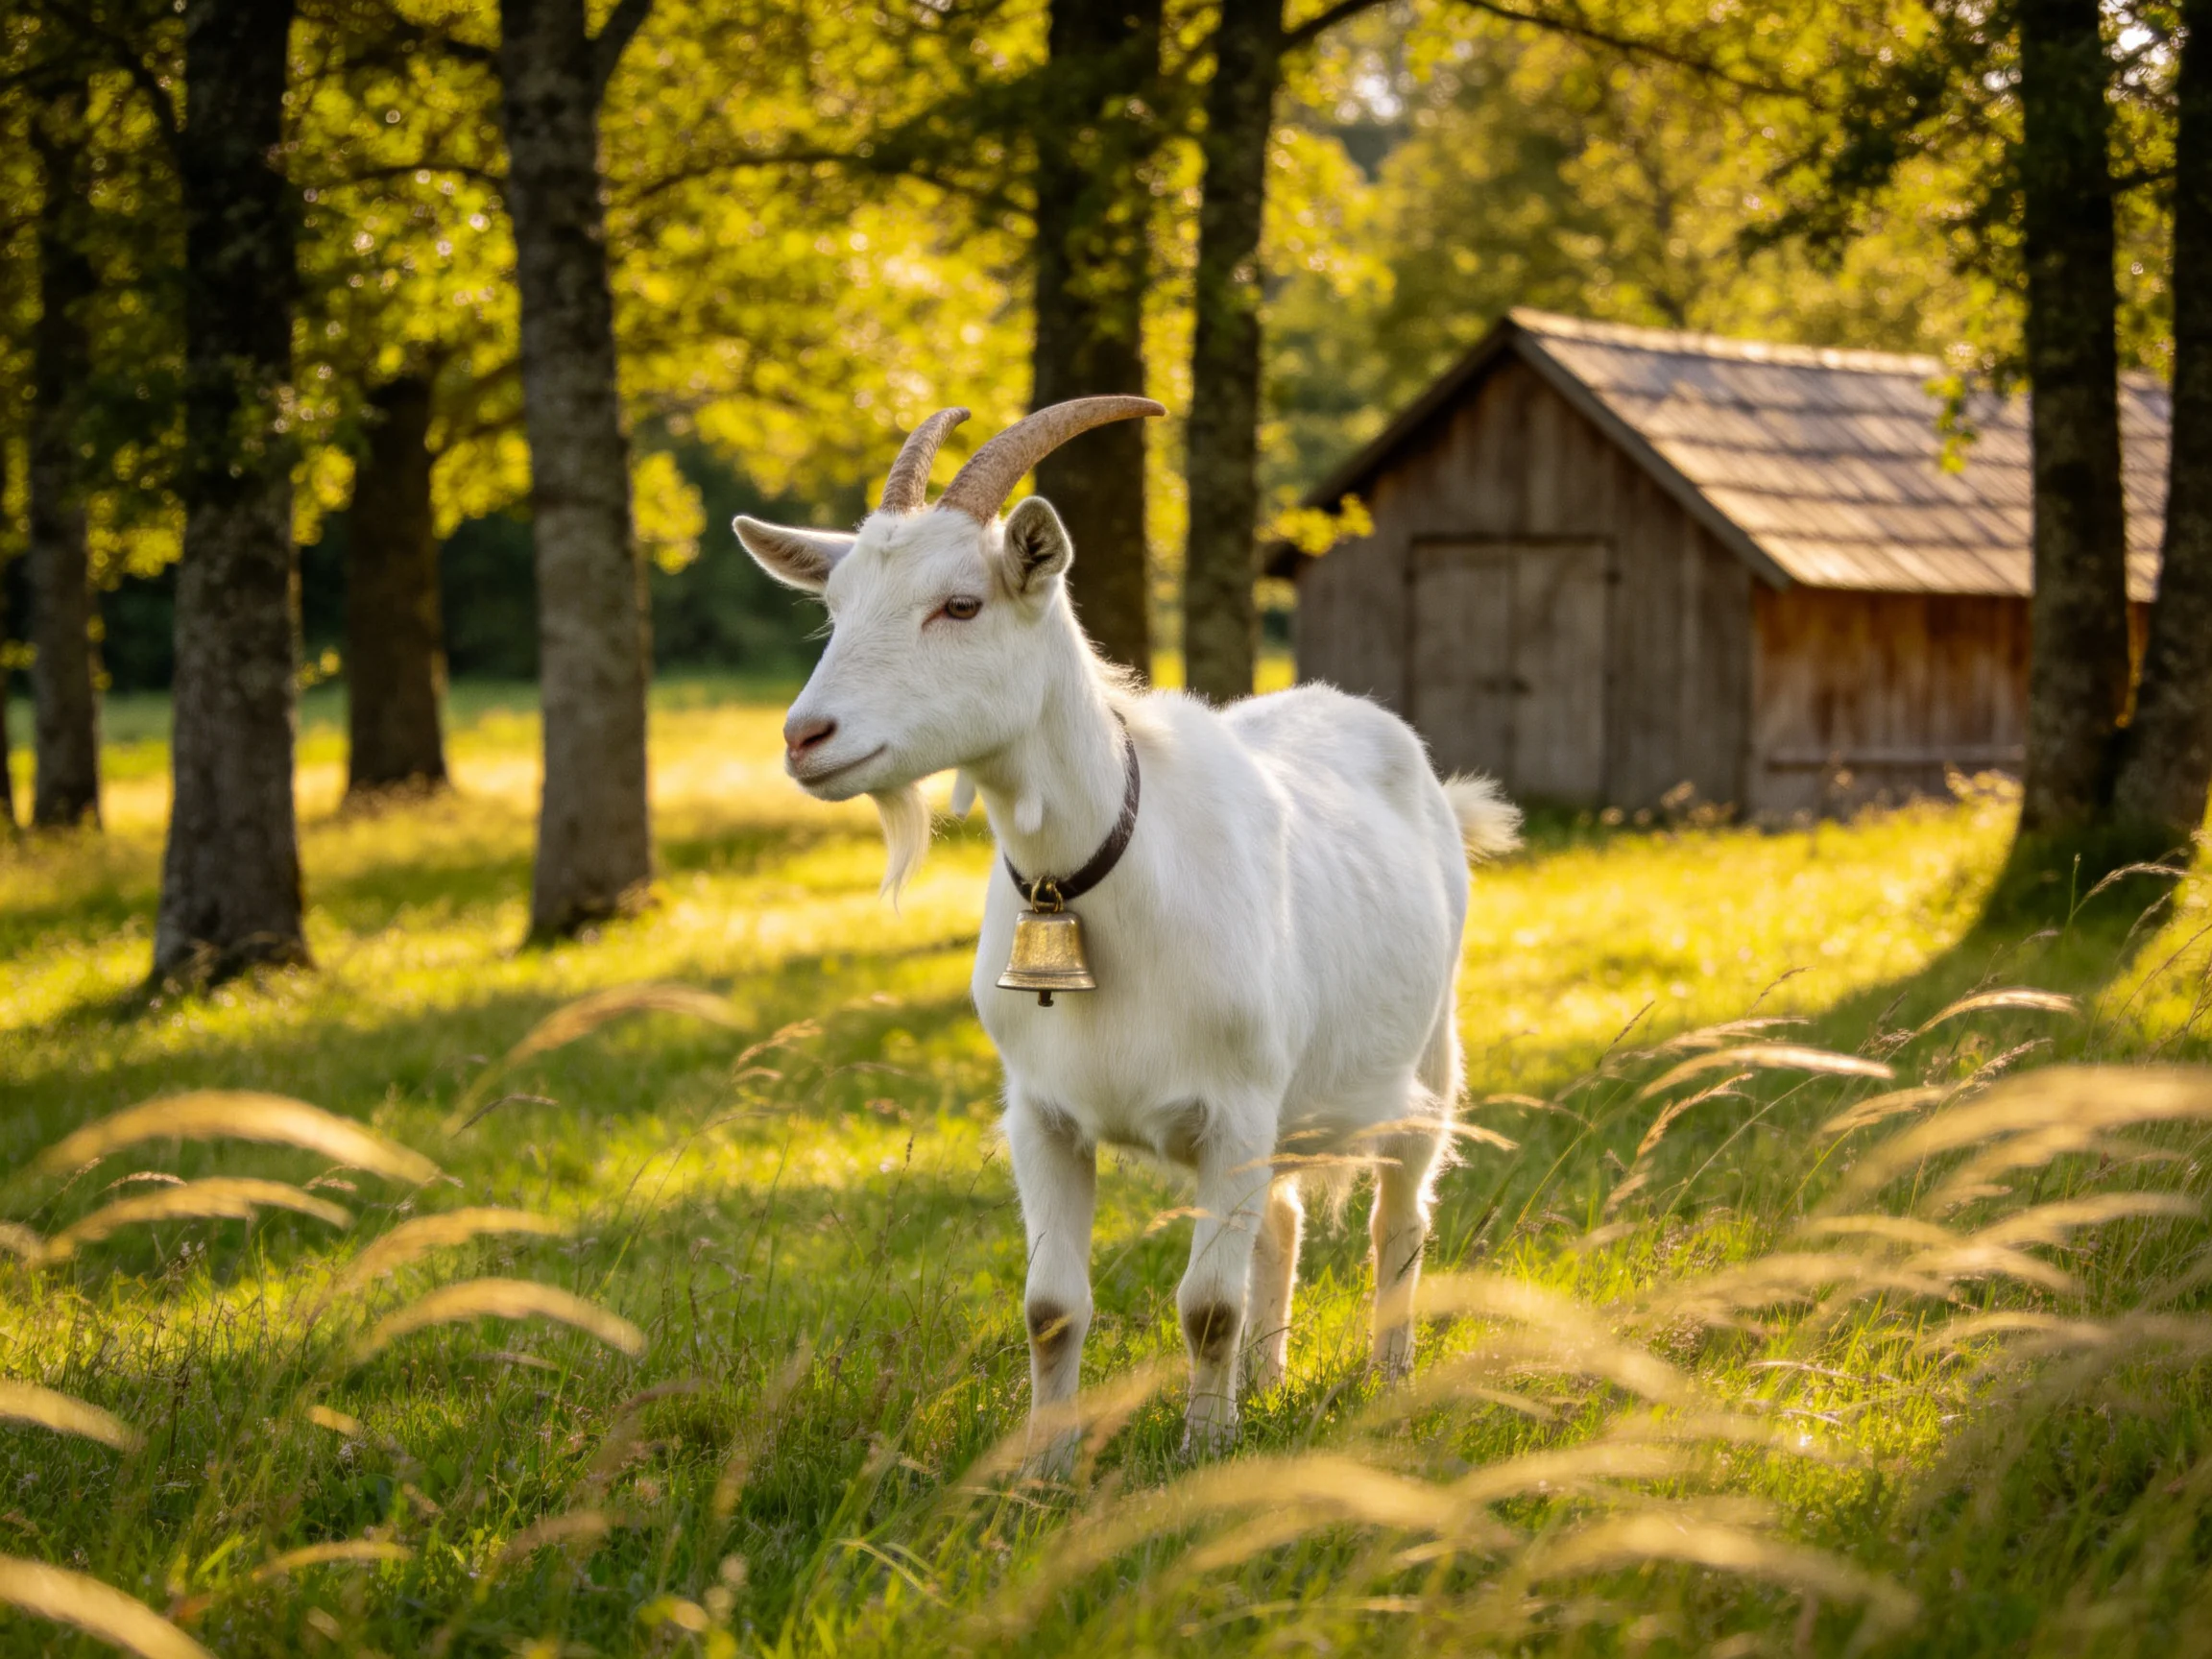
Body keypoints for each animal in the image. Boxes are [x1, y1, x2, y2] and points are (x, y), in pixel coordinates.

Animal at [736, 400, 1520, 1456]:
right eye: (837, 605)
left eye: (961, 606)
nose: (803, 738)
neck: (1098, 878)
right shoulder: (1041, 1114)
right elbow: (1051, 1307)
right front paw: (1046, 1465)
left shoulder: (1236, 1110)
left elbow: (1206, 1308)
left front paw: (1201, 1453)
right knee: (1281, 1225)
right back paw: (1267, 1386)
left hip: (1427, 1059)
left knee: (1400, 1221)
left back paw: (1386, 1385)